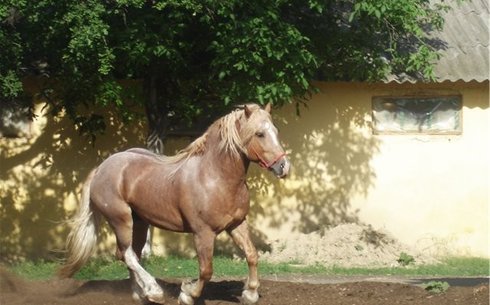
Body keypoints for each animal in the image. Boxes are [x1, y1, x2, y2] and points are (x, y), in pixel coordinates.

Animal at [59, 103, 290, 302]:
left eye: (276, 131)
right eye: (259, 134)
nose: (284, 166)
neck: (214, 177)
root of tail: (102, 167)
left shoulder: (236, 224)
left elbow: (252, 255)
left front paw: (250, 293)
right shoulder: (203, 233)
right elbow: (206, 270)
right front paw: (187, 294)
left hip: (140, 222)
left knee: (128, 255)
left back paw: (140, 294)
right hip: (120, 219)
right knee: (129, 254)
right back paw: (154, 291)